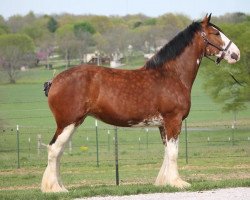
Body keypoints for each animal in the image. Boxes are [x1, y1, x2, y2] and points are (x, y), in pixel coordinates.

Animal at [41, 14, 240, 192]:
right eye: (216, 33)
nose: (236, 54)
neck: (171, 75)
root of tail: (54, 81)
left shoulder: (163, 125)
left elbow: (167, 152)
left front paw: (164, 182)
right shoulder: (173, 121)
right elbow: (173, 153)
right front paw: (178, 183)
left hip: (73, 123)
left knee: (59, 151)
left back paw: (60, 186)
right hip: (67, 123)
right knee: (54, 149)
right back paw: (55, 189)